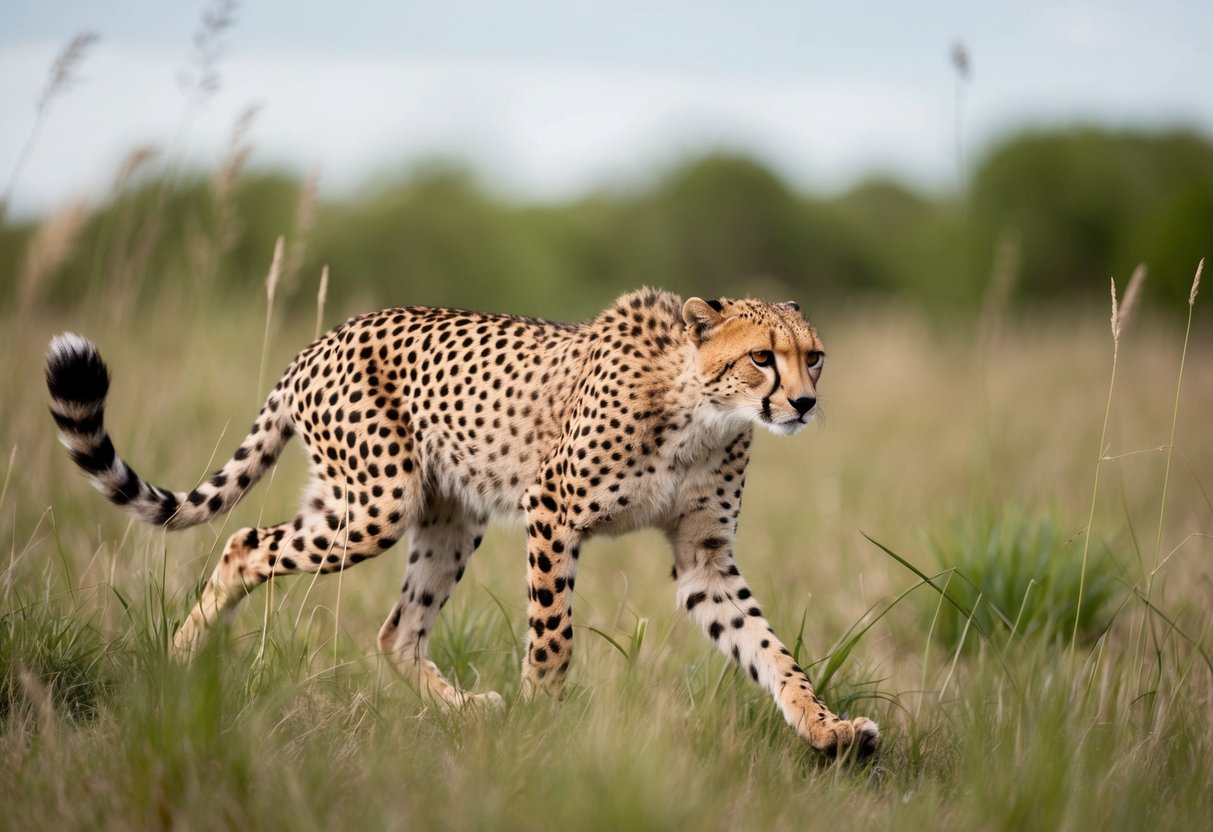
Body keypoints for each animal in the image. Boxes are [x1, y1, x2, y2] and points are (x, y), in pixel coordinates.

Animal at [45, 289, 880, 758]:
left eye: (814, 357)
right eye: (762, 358)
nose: (803, 402)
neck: (703, 408)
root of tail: (329, 335)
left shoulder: (703, 556)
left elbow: (769, 650)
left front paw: (827, 730)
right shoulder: (552, 510)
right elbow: (552, 635)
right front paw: (544, 723)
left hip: (434, 514)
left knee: (394, 631)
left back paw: (469, 713)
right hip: (376, 506)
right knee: (246, 543)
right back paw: (179, 660)